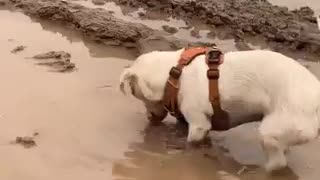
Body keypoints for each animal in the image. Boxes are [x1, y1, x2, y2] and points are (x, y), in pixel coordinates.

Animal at [119, 48, 320, 172]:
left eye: (135, 93)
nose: (150, 118)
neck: (176, 74)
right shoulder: (202, 125)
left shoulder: (198, 125)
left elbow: (191, 144)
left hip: (271, 131)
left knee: (278, 163)